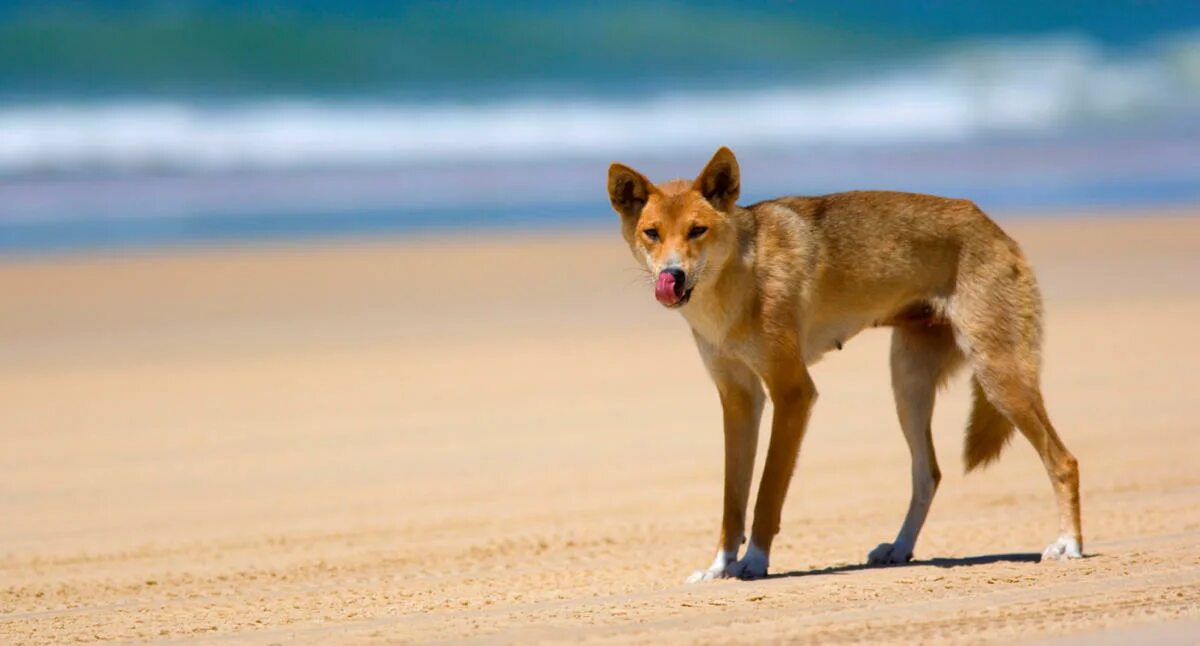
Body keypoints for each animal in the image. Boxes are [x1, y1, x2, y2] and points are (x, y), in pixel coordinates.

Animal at [604, 148, 1084, 581]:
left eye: (697, 230)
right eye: (652, 233)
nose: (672, 276)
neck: (739, 277)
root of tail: (996, 228)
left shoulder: (793, 392)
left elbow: (767, 492)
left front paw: (754, 561)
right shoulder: (739, 398)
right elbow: (732, 500)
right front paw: (719, 567)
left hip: (998, 375)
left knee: (1063, 461)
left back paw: (1069, 545)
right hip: (907, 383)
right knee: (927, 474)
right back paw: (900, 548)